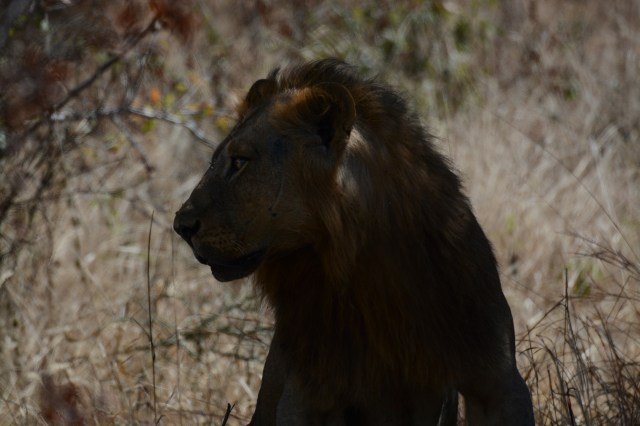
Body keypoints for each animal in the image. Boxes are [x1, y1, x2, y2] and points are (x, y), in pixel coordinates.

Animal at [174, 59, 534, 425]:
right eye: (215, 161)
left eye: (240, 161)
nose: (180, 226)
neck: (357, 265)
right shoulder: (307, 393)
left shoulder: (497, 378)